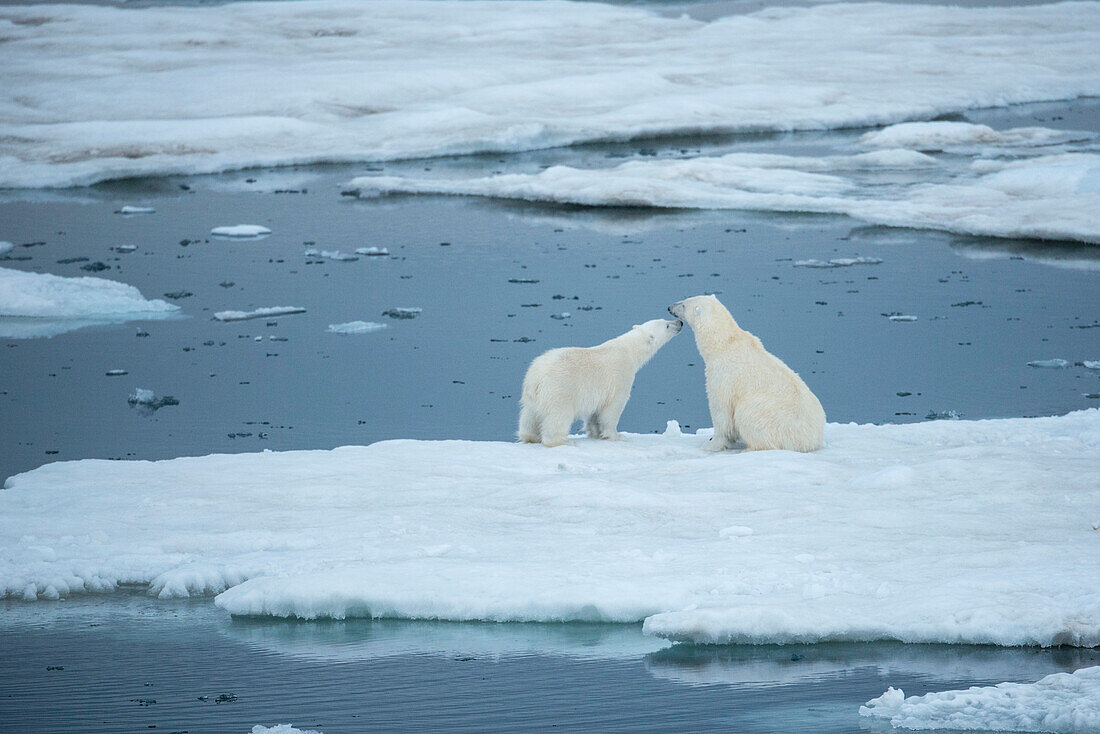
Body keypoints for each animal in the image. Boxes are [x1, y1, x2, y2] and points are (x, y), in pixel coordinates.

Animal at [514, 319, 677, 448]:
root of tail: (537, 377)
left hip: (531, 395)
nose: (679, 323)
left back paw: (531, 437)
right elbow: (612, 409)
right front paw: (617, 436)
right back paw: (564, 441)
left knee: (529, 416)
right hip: (559, 390)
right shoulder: (620, 378)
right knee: (558, 416)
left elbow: (595, 412)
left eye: (665, 321)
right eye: (667, 325)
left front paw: (595, 432)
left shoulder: (598, 391)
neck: (629, 350)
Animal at [664, 294, 822, 451]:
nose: (669, 307)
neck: (724, 344)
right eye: (684, 300)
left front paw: (711, 444)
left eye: (684, 304)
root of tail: (810, 441)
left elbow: (721, 411)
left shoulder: (723, 376)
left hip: (772, 418)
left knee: (747, 414)